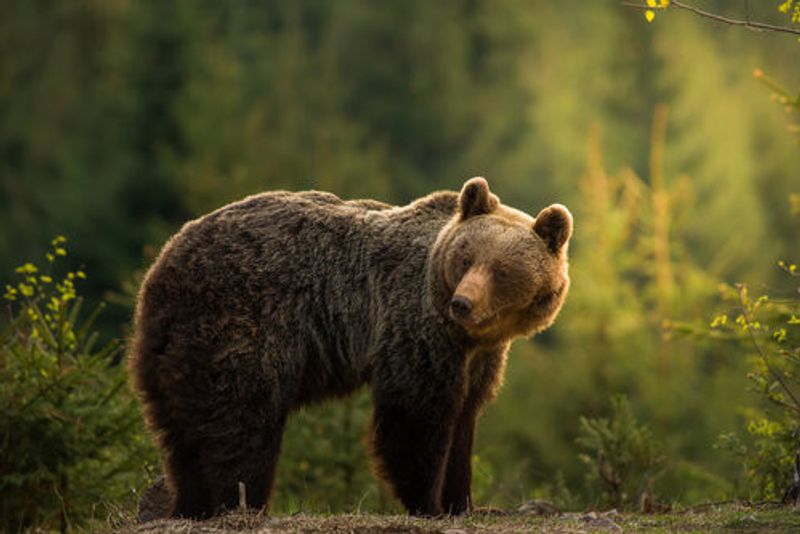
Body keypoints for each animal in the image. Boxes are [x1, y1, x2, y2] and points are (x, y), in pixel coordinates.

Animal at [129, 177, 572, 519]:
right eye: (465, 258)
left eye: (501, 270)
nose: (462, 303)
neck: (469, 335)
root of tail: (162, 265)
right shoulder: (415, 324)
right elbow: (416, 414)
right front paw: (428, 503)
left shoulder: (479, 356)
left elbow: (464, 419)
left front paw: (465, 503)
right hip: (241, 323)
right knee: (242, 422)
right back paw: (241, 504)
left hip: (173, 348)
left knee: (182, 432)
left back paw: (189, 504)